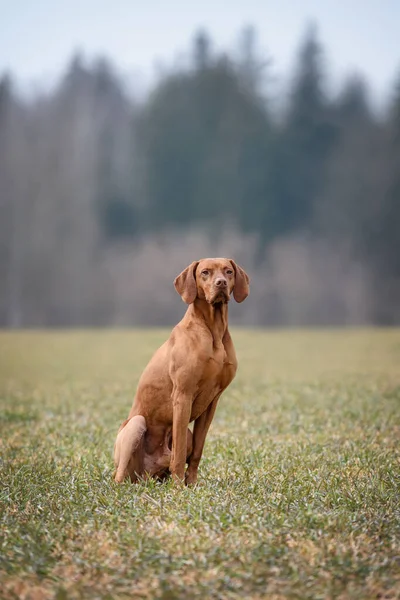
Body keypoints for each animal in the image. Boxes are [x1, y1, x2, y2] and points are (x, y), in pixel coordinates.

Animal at [113, 256, 250, 482]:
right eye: (205, 272)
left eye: (228, 271)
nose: (220, 283)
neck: (213, 330)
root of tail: (145, 476)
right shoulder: (183, 395)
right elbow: (177, 456)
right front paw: (178, 488)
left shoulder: (212, 402)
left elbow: (197, 452)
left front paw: (191, 485)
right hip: (136, 426)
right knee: (119, 476)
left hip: (186, 434)